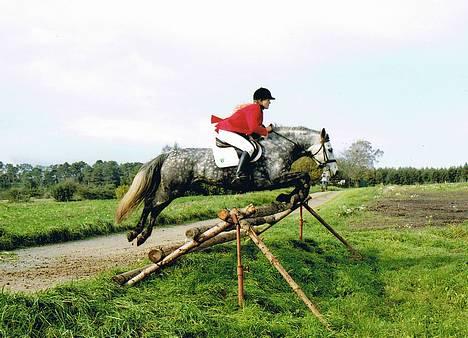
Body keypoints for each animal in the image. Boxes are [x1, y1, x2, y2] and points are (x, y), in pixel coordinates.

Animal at [115, 125, 338, 244]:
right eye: (330, 149)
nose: (335, 172)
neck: (280, 147)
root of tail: (168, 154)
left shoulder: (280, 177)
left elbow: (302, 179)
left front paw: (289, 197)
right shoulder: (274, 178)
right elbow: (304, 177)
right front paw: (293, 196)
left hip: (172, 189)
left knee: (151, 204)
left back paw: (137, 234)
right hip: (172, 189)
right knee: (152, 205)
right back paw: (139, 235)